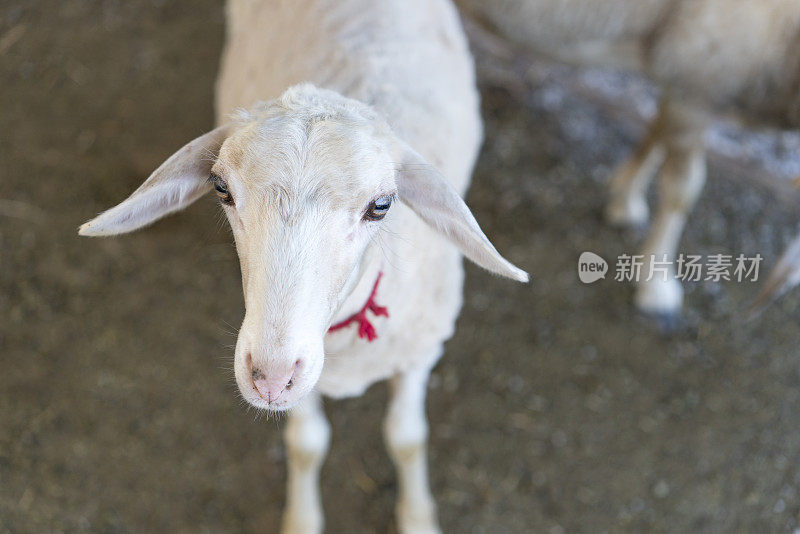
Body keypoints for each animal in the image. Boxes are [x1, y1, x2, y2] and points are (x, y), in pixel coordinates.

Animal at [76, 1, 524, 534]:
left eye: (381, 205)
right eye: (221, 189)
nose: (270, 377)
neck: (347, 342)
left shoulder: (420, 349)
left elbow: (407, 437)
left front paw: (417, 517)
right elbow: (307, 445)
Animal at [456, 0, 800, 318]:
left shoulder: (677, 85)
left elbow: (656, 131)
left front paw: (625, 195)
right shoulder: (695, 88)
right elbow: (682, 189)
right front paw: (656, 285)